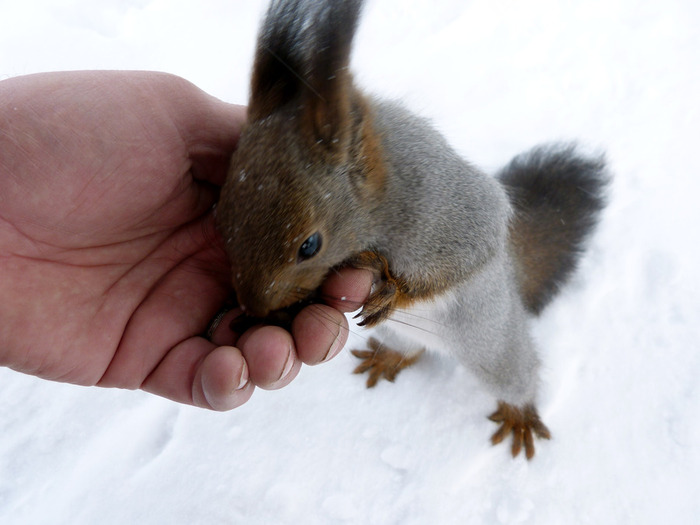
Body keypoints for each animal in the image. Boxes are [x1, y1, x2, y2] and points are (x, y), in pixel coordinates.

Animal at [217, 0, 608, 458]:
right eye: (220, 213)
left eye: (310, 245)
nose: (255, 307)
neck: (382, 202)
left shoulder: (450, 213)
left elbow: (465, 255)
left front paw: (393, 288)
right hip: (401, 336)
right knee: (411, 350)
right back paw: (389, 358)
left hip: (492, 340)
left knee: (515, 374)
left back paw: (520, 415)